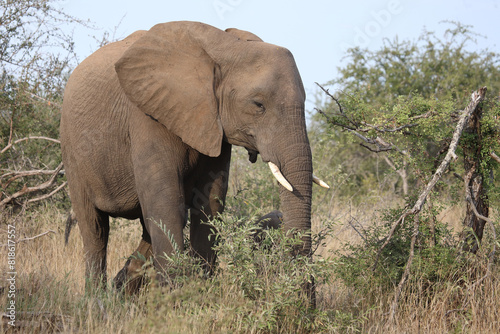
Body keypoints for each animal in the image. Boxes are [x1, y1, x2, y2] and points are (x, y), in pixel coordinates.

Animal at [60, 20, 328, 292]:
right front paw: (172, 297)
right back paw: (98, 298)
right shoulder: (147, 114)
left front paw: (199, 292)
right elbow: (165, 202)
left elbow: (210, 201)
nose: (306, 300)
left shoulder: (215, 125)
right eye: (258, 105)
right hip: (72, 149)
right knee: (95, 229)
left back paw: (122, 288)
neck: (225, 47)